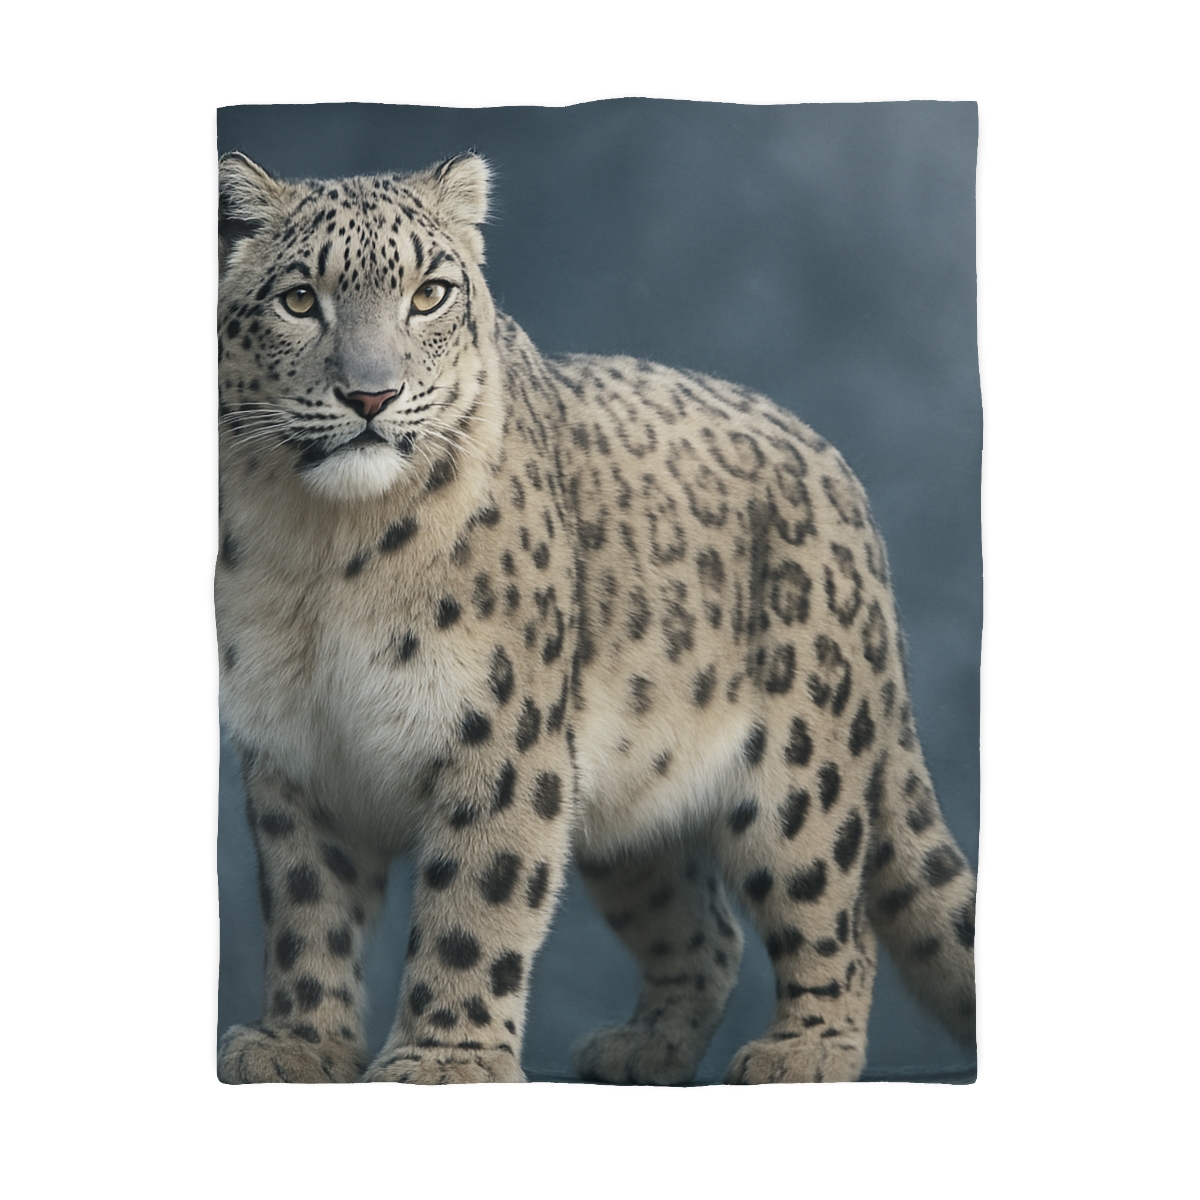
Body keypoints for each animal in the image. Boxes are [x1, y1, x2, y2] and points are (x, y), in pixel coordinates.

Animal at [215, 150, 977, 1085]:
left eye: (429, 294)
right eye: (298, 299)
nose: (370, 396)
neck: (324, 553)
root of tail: (840, 475)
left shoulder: (500, 734)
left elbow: (478, 900)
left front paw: (443, 1058)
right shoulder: (294, 750)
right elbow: (307, 910)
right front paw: (297, 1044)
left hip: (803, 773)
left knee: (836, 914)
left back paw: (802, 1051)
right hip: (636, 811)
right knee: (704, 930)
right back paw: (642, 1050)